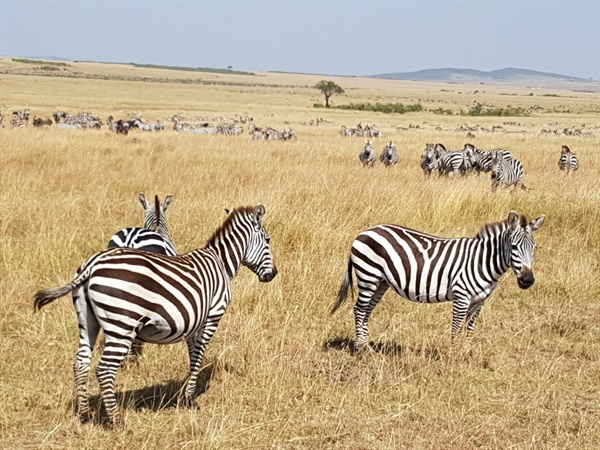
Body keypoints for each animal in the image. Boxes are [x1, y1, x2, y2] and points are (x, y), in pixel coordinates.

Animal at [36, 204, 280, 428]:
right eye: (268, 240)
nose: (274, 274)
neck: (221, 263)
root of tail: (92, 265)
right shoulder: (212, 316)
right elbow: (199, 357)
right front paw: (191, 399)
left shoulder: (193, 321)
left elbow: (193, 356)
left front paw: (186, 396)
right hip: (121, 324)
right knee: (104, 370)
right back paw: (117, 422)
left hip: (88, 321)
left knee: (81, 363)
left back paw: (85, 415)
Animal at [330, 211, 548, 352]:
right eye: (514, 247)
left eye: (534, 247)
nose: (527, 280)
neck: (482, 261)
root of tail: (364, 232)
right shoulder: (462, 297)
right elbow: (456, 328)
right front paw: (452, 356)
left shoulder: (479, 301)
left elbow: (469, 329)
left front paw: (465, 353)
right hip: (368, 276)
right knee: (359, 309)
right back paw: (360, 349)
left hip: (380, 282)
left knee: (366, 311)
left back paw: (367, 346)